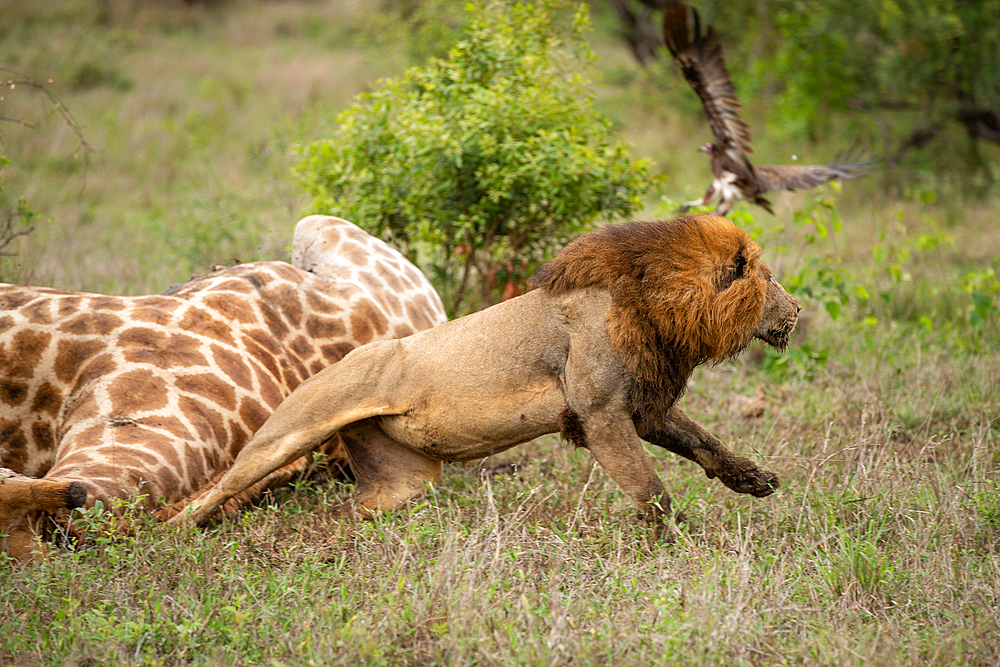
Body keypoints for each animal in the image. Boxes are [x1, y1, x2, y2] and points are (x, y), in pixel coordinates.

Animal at [170, 217, 796, 536]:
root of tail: (338, 362)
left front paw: (752, 480)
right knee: (215, 490)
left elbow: (703, 442)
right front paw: (688, 541)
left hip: (404, 483)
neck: (658, 305)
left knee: (349, 508)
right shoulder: (601, 415)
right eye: (767, 279)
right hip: (291, 432)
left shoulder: (643, 407)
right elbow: (653, 490)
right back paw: (169, 535)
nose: (795, 310)